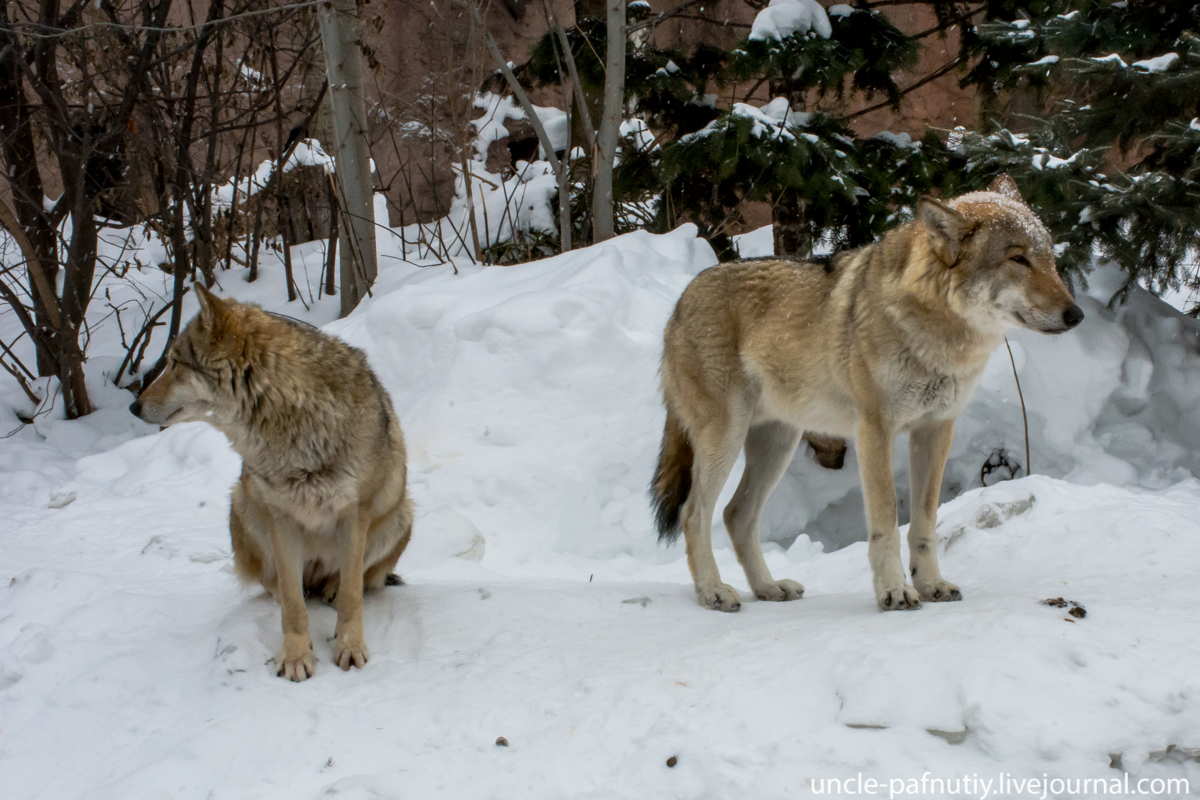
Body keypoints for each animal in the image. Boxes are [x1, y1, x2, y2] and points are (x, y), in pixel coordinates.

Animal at [130, 284, 412, 681]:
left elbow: (352, 595)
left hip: (400, 513)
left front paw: (350, 647)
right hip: (244, 501)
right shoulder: (281, 518)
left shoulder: (354, 512)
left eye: (174, 364)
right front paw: (295, 657)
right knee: (278, 583)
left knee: (354, 579)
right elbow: (293, 605)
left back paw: (331, 588)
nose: (133, 407)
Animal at [652, 176, 1084, 614]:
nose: (1076, 315)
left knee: (735, 515)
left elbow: (924, 523)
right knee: (694, 513)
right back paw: (713, 591)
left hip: (778, 444)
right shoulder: (875, 430)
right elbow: (886, 523)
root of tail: (680, 302)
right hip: (727, 438)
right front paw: (895, 592)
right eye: (1018, 259)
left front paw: (931, 584)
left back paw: (769, 588)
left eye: (1048, 257)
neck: (938, 333)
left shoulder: (936, 430)